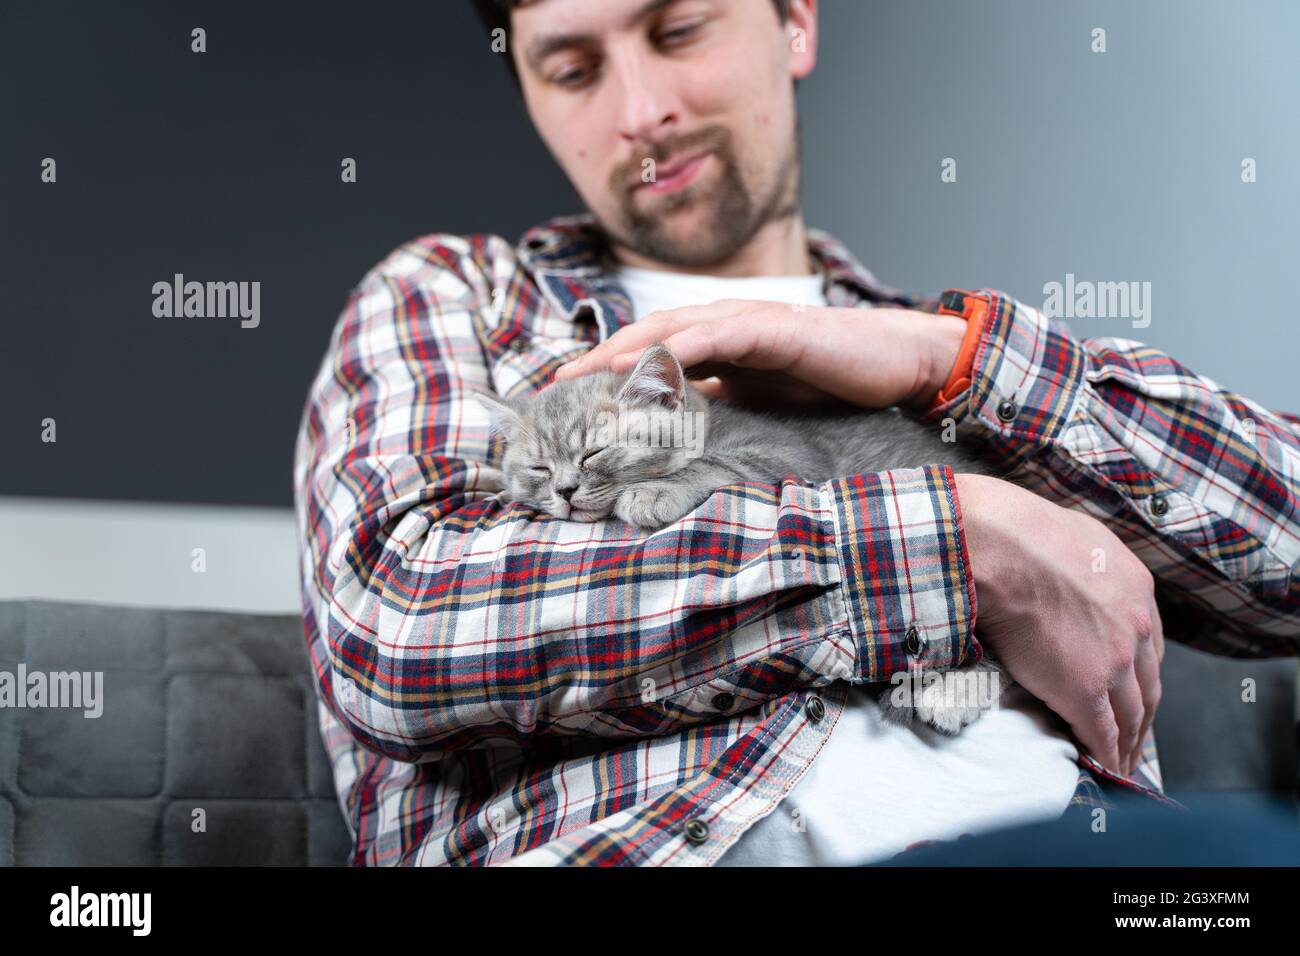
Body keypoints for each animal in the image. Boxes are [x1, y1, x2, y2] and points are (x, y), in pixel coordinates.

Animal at [480, 343, 1013, 738]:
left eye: (593, 453)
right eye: (539, 468)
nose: (565, 491)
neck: (713, 423)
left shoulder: (789, 455)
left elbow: (717, 463)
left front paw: (655, 491)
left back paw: (954, 689)